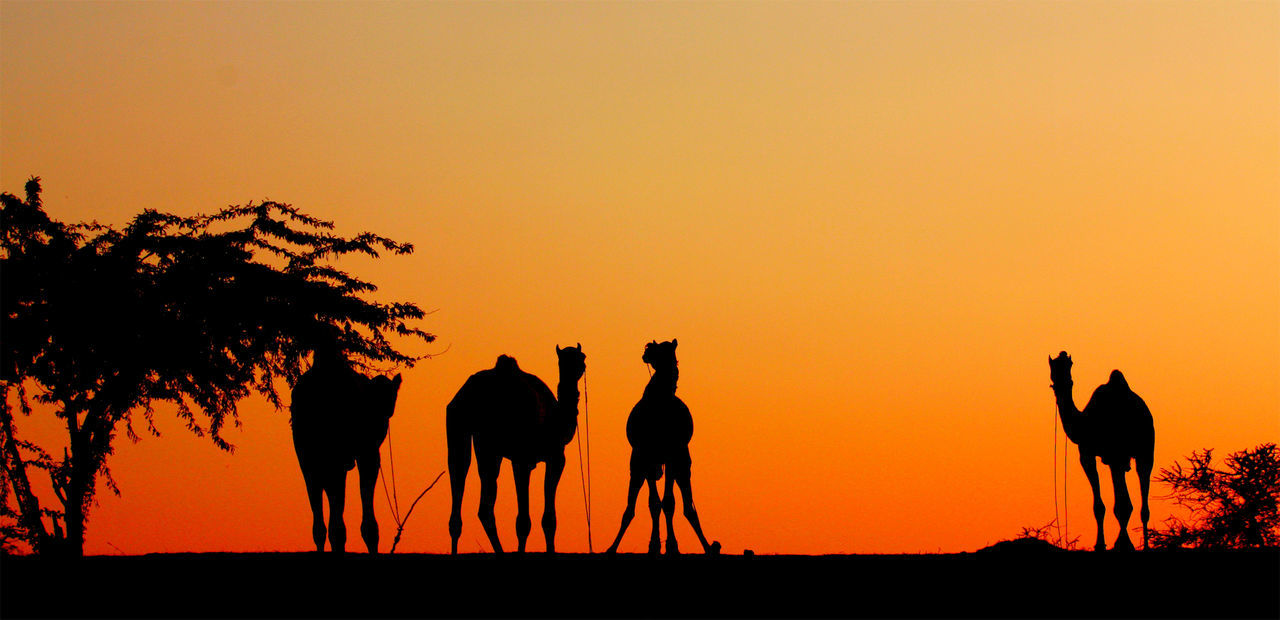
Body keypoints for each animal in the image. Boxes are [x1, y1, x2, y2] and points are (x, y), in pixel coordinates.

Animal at [445, 345, 586, 553]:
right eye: (565, 360)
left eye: (581, 357)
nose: (579, 367)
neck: (556, 422)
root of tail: (466, 395)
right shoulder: (547, 457)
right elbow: (536, 520)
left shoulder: (524, 458)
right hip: (491, 440)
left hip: (464, 430)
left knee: (462, 480)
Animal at [604, 340, 716, 553]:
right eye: (654, 347)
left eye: (661, 349)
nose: (646, 351)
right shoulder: (647, 456)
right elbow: (654, 503)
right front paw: (654, 545)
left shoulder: (672, 456)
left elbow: (669, 502)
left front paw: (672, 546)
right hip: (638, 463)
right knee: (631, 505)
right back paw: (612, 547)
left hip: (682, 462)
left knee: (688, 505)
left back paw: (708, 546)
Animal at [1049, 350, 1162, 550]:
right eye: (1053, 367)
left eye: (1068, 366)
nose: (1061, 382)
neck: (1084, 424)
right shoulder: (1098, 456)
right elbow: (1103, 506)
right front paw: (1106, 543)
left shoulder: (1100, 455)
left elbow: (1114, 505)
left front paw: (1114, 544)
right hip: (1133, 455)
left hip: (1137, 453)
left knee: (1133, 499)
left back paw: (1136, 544)